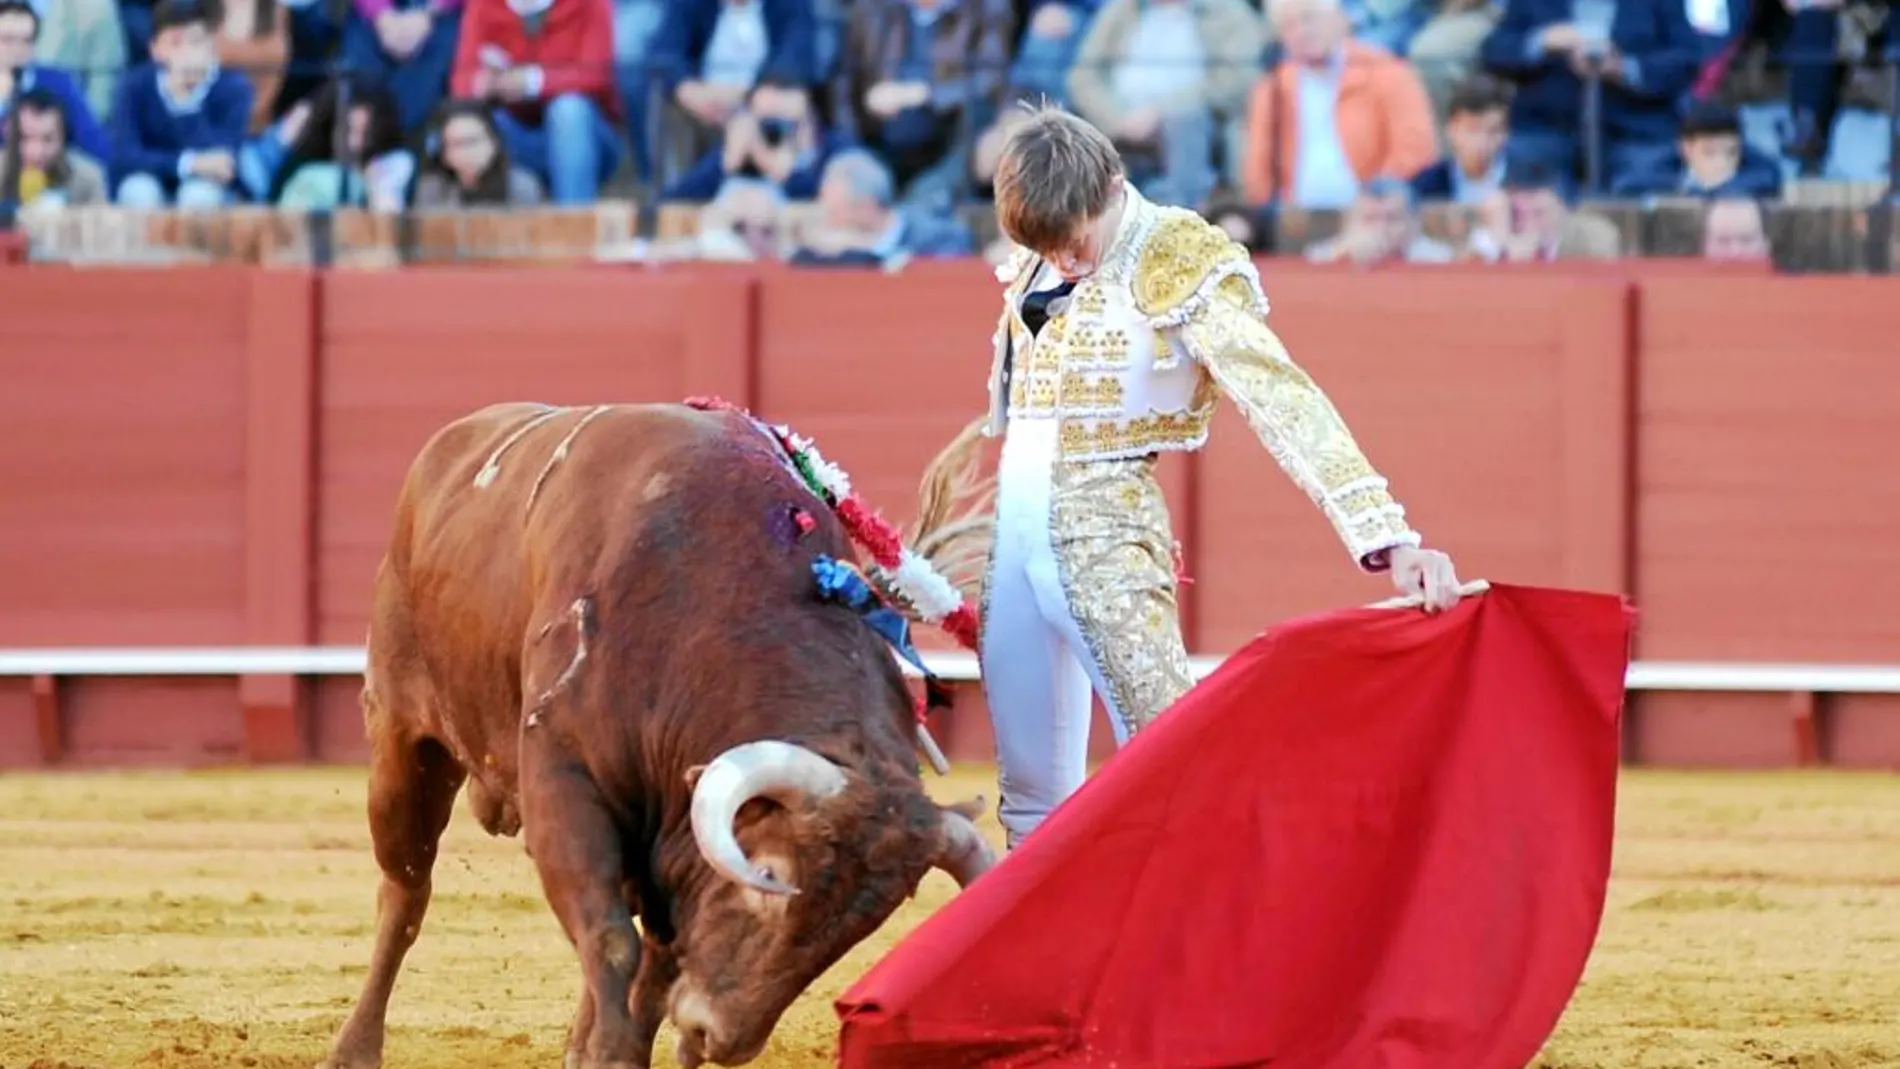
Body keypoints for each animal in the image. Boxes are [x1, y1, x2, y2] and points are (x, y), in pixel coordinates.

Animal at [319, 402, 1003, 1069]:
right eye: (767, 875)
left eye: (858, 930)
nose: (718, 1038)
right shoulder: (563, 783)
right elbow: (610, 941)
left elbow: (650, 972)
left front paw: (610, 1052)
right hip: (402, 739)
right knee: (406, 891)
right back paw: (354, 1051)